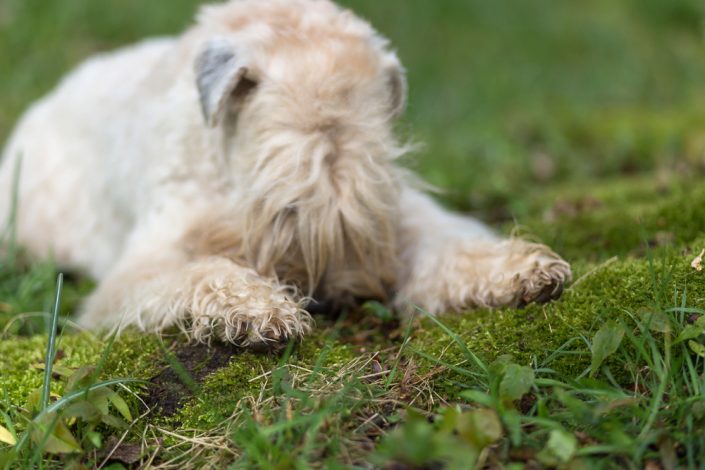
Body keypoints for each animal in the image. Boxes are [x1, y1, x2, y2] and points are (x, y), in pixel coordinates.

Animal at [0, 0, 568, 346]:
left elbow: (447, 246)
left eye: (376, 168)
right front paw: (259, 310)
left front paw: (519, 270)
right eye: (289, 183)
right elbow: (201, 271)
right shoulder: (141, 266)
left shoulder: (406, 216)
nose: (344, 292)